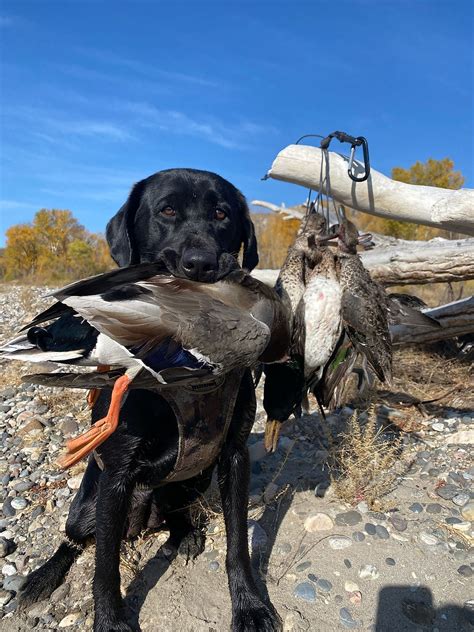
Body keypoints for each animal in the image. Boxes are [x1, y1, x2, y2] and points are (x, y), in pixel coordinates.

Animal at [18, 168, 282, 632]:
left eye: (222, 214)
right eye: (167, 210)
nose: (201, 264)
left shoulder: (234, 456)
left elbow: (238, 543)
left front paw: (249, 604)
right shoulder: (117, 474)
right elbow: (105, 567)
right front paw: (109, 619)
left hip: (189, 482)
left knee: (174, 517)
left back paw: (186, 534)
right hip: (89, 506)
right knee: (75, 541)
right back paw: (42, 576)